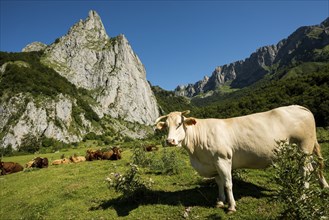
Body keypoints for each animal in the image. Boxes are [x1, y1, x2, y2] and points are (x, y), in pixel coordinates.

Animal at [154, 105, 328, 212]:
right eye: (166, 127)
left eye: (179, 124)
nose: (170, 141)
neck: (197, 154)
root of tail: (299, 107)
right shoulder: (213, 163)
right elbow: (219, 183)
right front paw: (220, 201)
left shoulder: (223, 159)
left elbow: (228, 183)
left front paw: (231, 206)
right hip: (300, 151)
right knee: (312, 168)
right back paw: (320, 186)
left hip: (304, 146)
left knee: (305, 171)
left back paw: (303, 195)